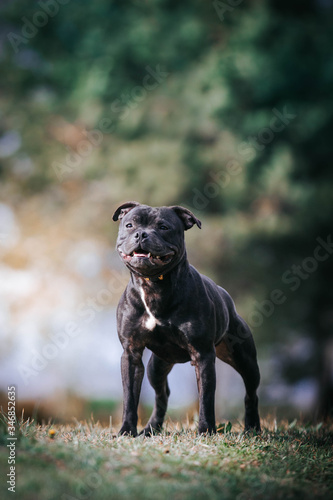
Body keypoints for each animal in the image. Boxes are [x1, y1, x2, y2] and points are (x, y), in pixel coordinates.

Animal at [111, 201, 260, 436]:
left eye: (163, 227)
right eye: (129, 224)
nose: (142, 234)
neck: (153, 287)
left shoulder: (203, 354)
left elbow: (206, 398)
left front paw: (206, 430)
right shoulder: (131, 353)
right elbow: (130, 398)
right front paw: (126, 431)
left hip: (245, 360)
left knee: (251, 392)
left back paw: (253, 427)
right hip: (156, 367)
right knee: (162, 395)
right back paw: (151, 428)